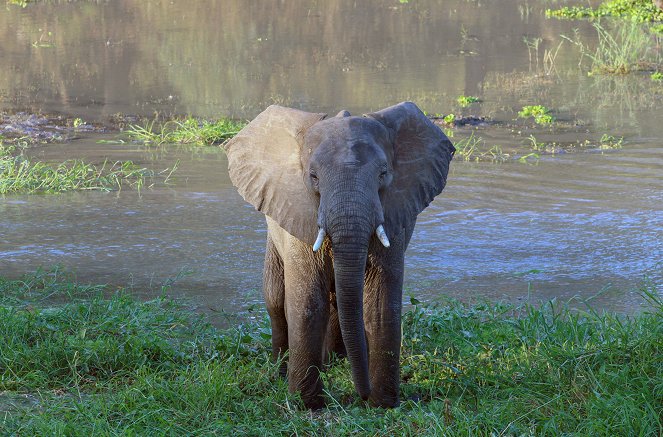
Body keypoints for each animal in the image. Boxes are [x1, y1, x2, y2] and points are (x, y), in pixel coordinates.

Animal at [226, 100, 454, 408]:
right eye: (313, 177)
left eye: (383, 174)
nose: (361, 395)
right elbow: (307, 302)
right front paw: (307, 405)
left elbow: (380, 303)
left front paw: (382, 405)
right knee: (275, 298)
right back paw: (282, 371)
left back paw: (336, 362)